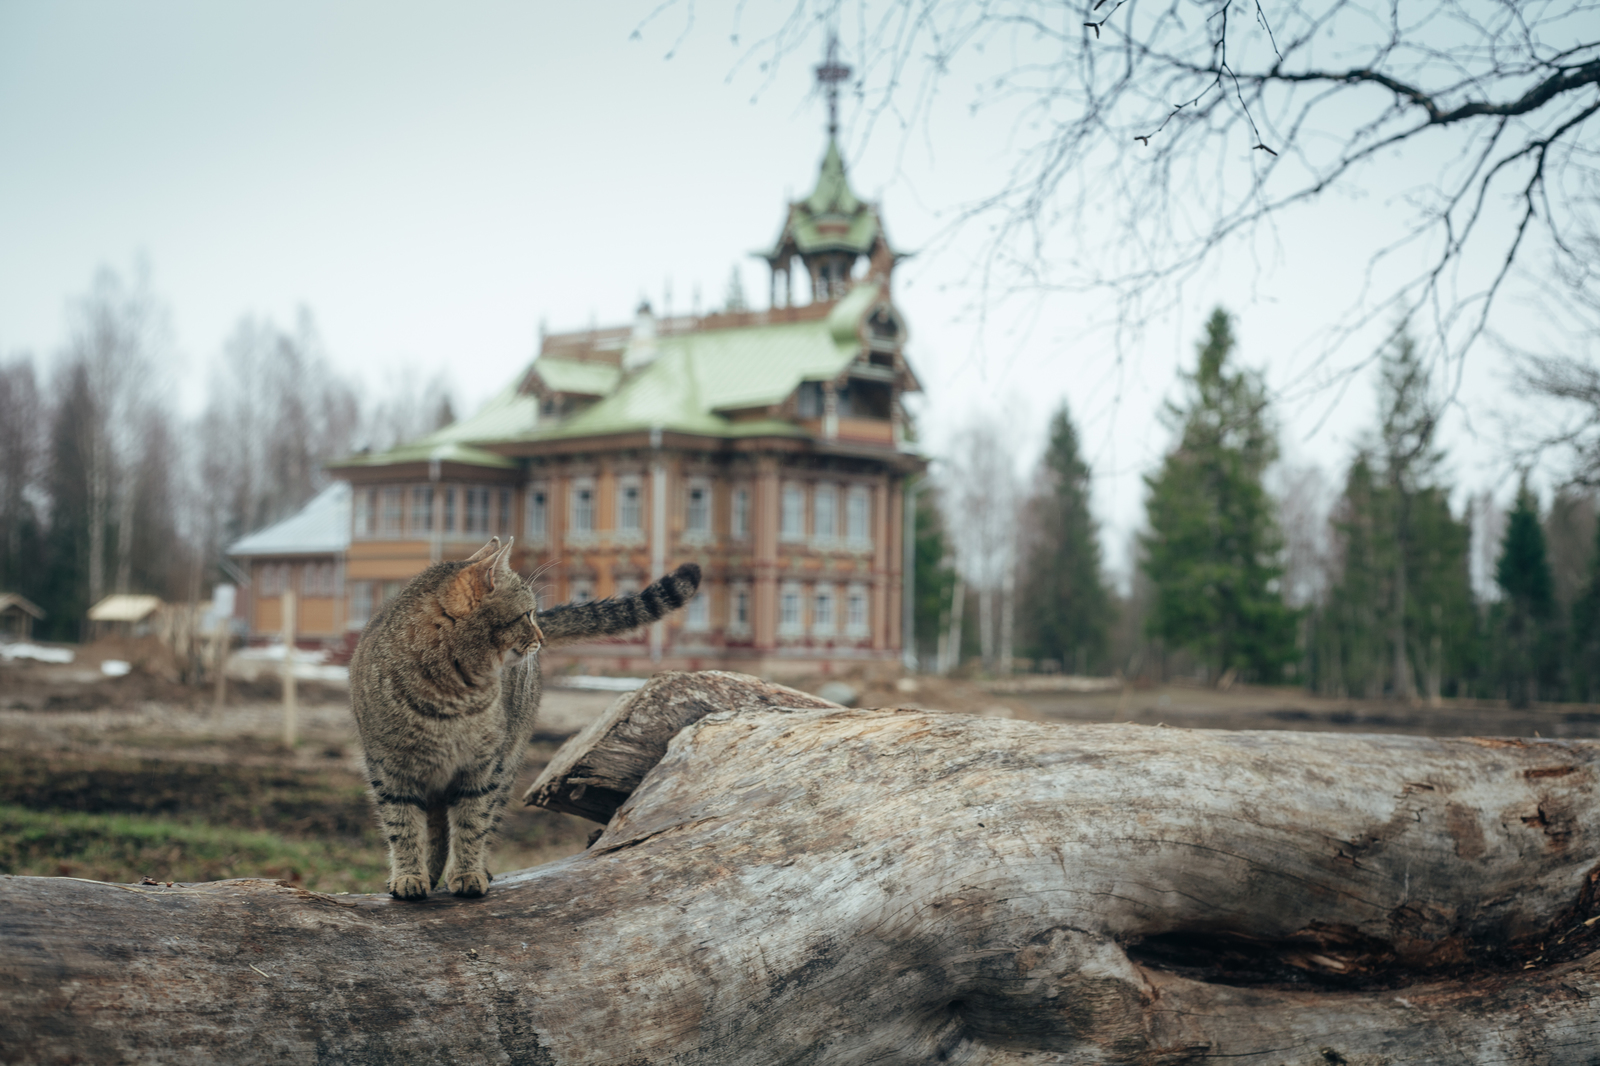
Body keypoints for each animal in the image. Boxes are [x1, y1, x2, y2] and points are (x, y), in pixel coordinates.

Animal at [350, 531, 700, 896]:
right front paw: (409, 875)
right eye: (527, 614)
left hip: (507, 764)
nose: (541, 637)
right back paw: (429, 874)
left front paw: (467, 872)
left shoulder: (483, 767)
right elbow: (402, 826)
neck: (451, 696)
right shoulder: (390, 769)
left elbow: (472, 823)